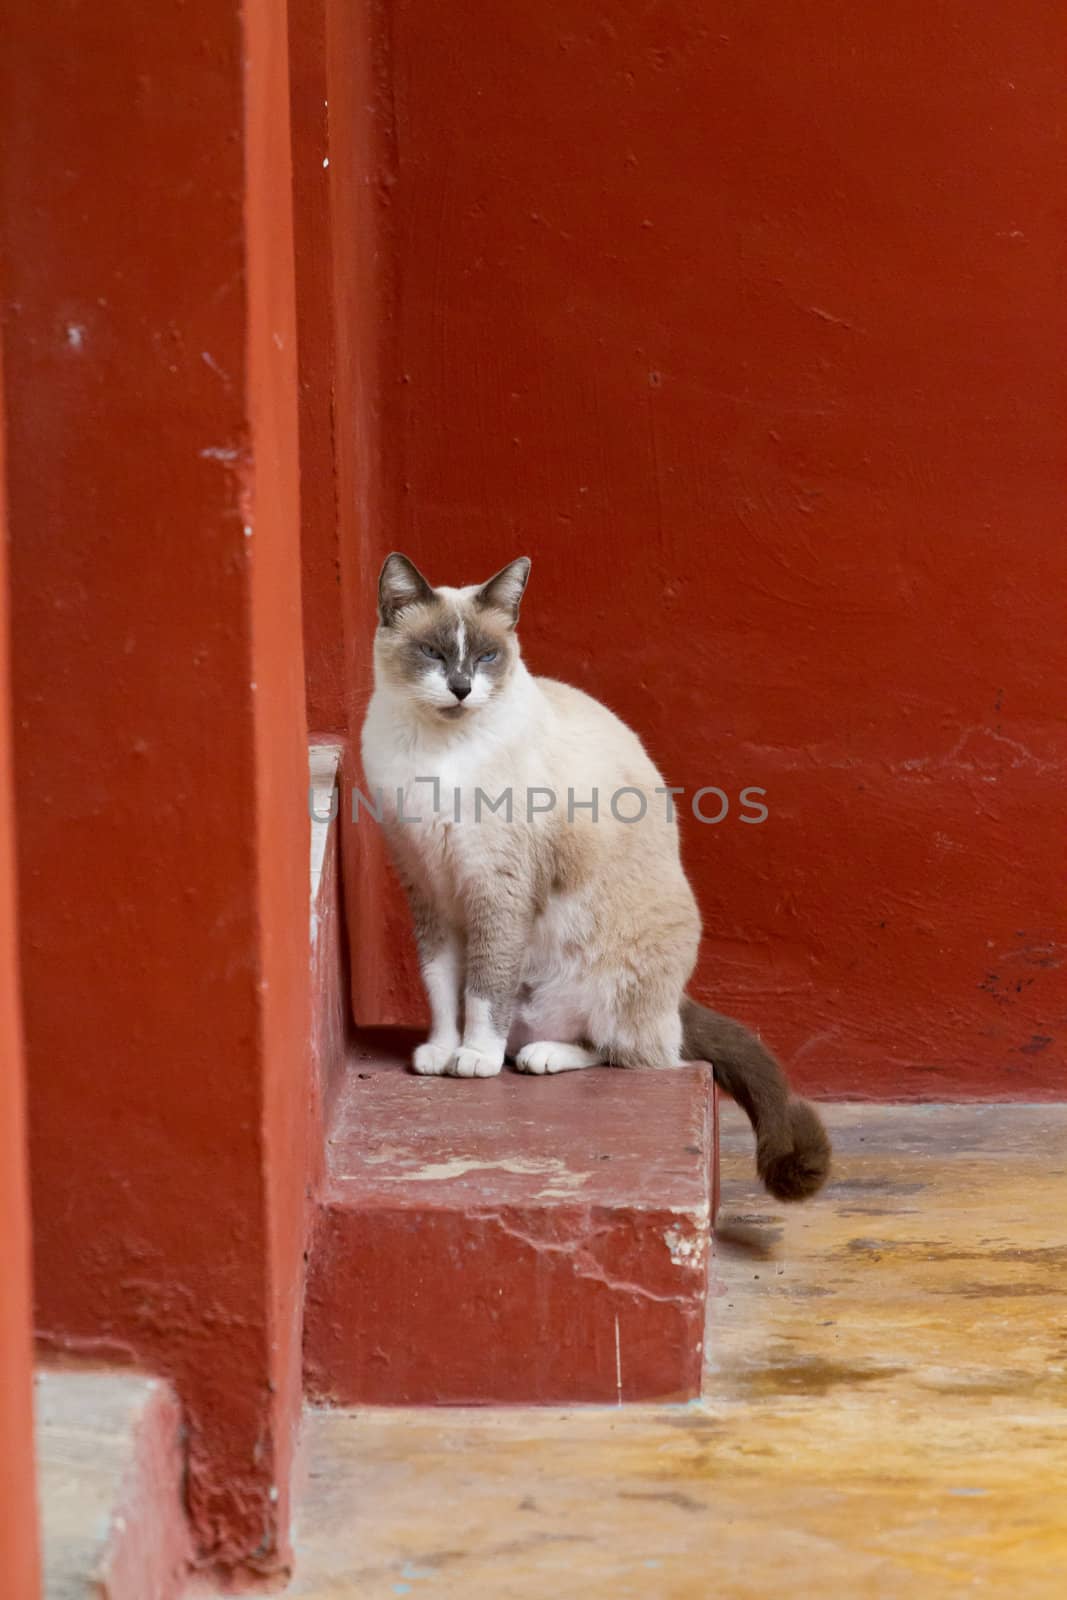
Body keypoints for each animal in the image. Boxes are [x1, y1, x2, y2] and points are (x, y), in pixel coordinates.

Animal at [361, 556, 831, 1196]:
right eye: (432, 652)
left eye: (486, 657)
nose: (461, 688)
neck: (438, 754)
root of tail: (675, 1001)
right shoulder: (428, 887)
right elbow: (441, 984)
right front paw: (440, 1051)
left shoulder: (495, 888)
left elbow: (483, 987)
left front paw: (473, 1059)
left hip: (612, 980)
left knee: (632, 1052)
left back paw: (538, 1057)